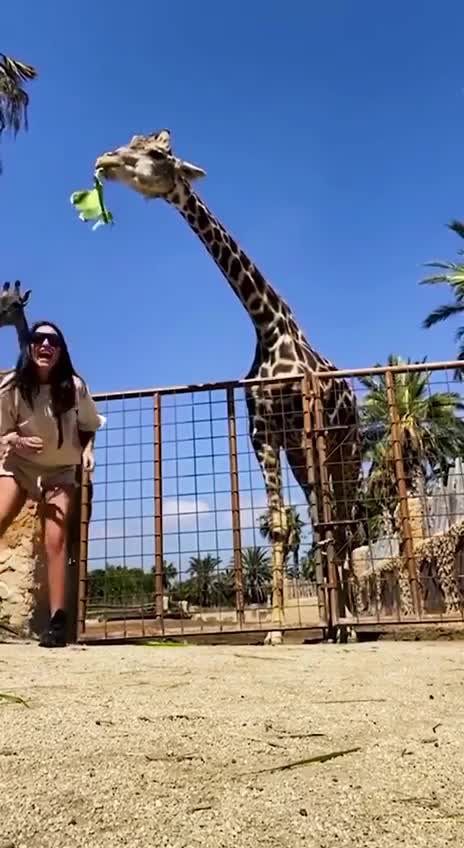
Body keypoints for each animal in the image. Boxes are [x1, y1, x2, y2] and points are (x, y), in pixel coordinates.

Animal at [95, 130, 362, 640]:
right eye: (131, 140)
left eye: (156, 153)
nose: (104, 160)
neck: (268, 325)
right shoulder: (264, 434)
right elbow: (280, 525)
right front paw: (276, 627)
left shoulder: (304, 427)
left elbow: (321, 525)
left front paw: (340, 624)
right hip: (305, 457)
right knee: (326, 518)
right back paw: (329, 621)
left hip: (346, 450)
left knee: (343, 521)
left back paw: (351, 622)